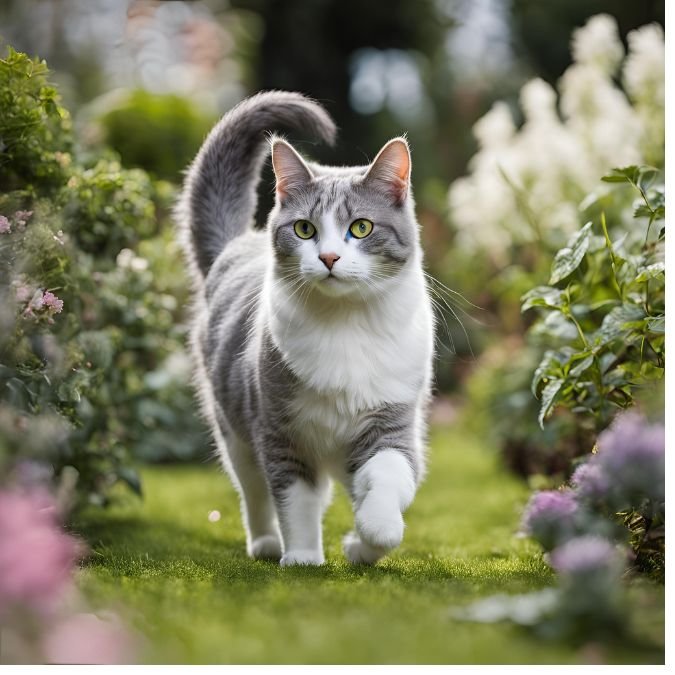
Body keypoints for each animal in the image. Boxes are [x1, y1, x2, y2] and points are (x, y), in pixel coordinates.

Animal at [177, 90, 436, 564]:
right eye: (304, 229)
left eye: (361, 227)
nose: (329, 257)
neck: (345, 326)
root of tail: (235, 245)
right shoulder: (280, 431)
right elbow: (294, 499)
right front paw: (301, 557)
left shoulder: (392, 421)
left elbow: (389, 479)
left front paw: (370, 536)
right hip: (233, 429)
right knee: (254, 491)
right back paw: (264, 543)